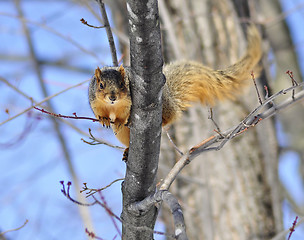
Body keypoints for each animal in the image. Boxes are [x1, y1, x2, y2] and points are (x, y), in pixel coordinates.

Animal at [88, 25, 262, 146]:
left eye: (122, 84)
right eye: (101, 85)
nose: (112, 97)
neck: (113, 106)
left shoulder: (127, 102)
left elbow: (124, 114)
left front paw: (118, 120)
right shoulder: (95, 101)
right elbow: (98, 112)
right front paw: (104, 119)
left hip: (164, 105)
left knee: (171, 116)